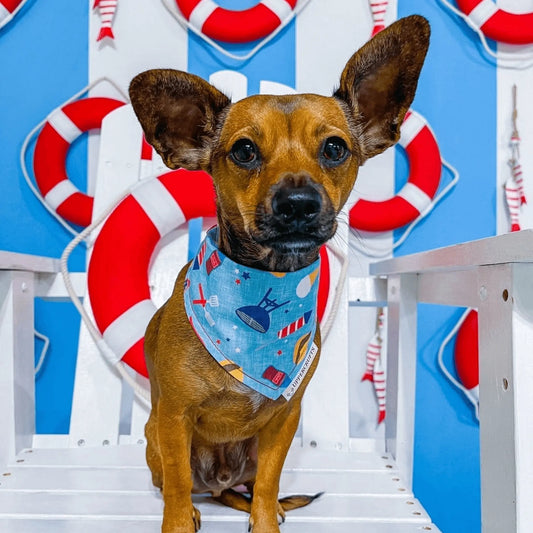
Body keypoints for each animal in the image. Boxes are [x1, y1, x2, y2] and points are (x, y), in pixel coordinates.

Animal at [131, 14, 430, 528]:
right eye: (244, 151)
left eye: (335, 148)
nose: (298, 203)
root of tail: (221, 481)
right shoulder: (173, 419)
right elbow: (177, 487)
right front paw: (179, 522)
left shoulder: (283, 422)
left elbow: (270, 483)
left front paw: (267, 520)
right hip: (153, 440)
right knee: (182, 483)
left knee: (250, 488)